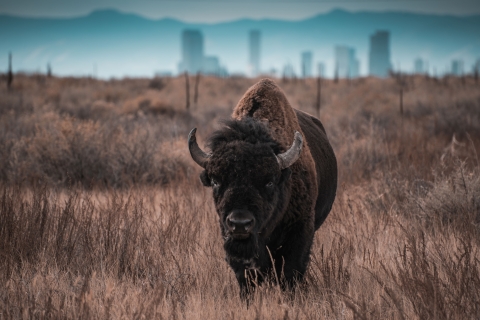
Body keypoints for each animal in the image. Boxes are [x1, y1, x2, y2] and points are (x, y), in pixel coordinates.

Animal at [188, 78, 338, 298]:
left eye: (269, 182)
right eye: (216, 181)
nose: (240, 223)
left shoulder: (300, 232)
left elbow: (290, 272)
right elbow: (246, 277)